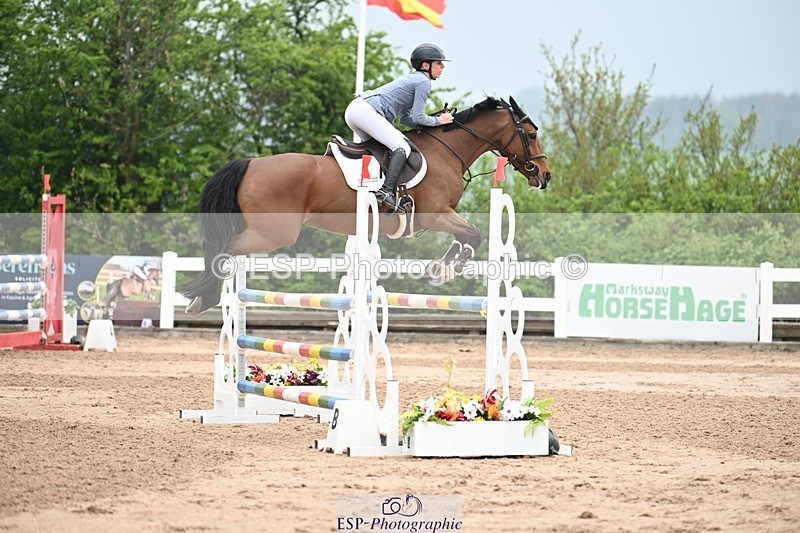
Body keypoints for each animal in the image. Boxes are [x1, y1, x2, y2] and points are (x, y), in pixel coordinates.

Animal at [182, 96, 550, 314]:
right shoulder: (434, 215)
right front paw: (445, 272)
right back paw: (206, 297)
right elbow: (472, 234)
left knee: (220, 248)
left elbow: (466, 236)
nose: (545, 175)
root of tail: (250, 164)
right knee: (222, 249)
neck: (447, 150)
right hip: (274, 233)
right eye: (531, 135)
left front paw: (438, 268)